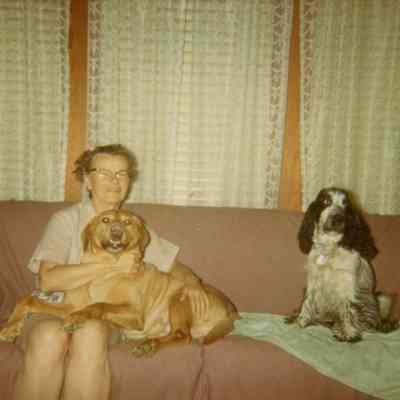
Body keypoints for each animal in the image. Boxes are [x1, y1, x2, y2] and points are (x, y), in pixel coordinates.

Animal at [286, 187, 398, 342]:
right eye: (326, 201)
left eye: (345, 204)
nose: (338, 218)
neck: (329, 248)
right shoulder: (313, 279)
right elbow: (308, 301)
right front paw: (301, 320)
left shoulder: (347, 283)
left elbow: (348, 308)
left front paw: (348, 333)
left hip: (383, 298)